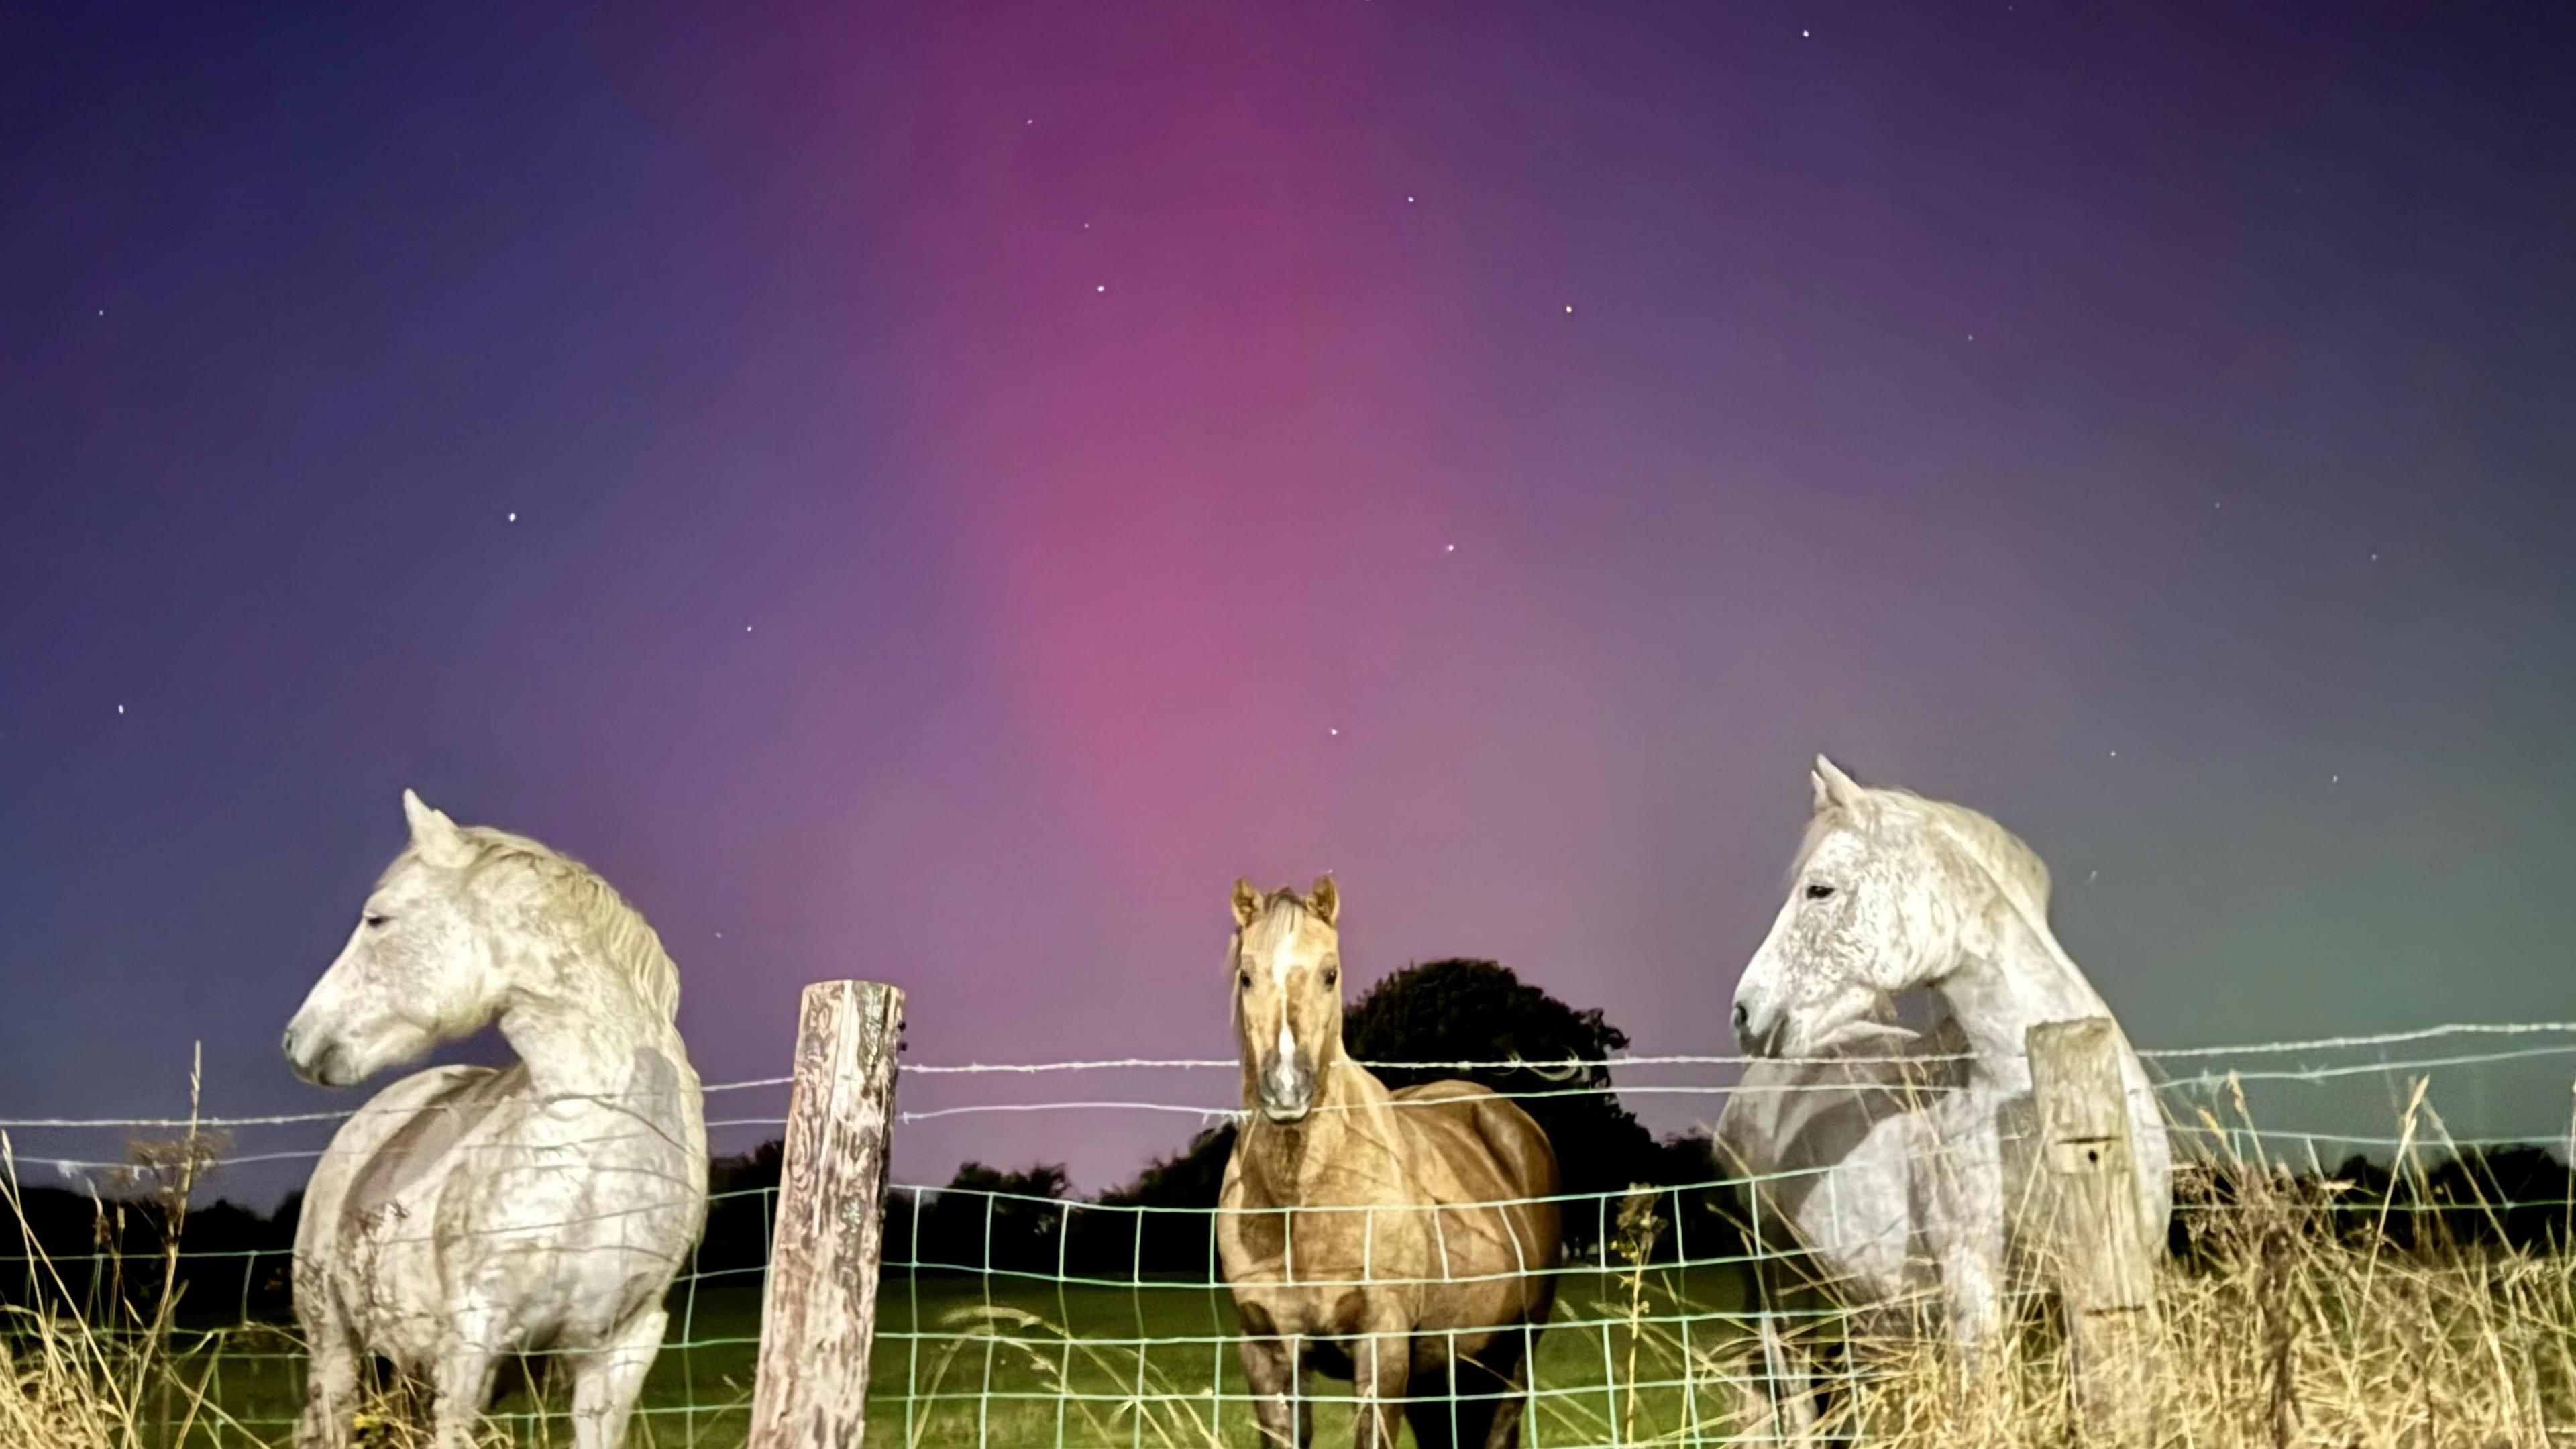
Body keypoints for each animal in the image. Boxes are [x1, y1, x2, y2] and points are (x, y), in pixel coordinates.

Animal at [1216, 881, 1556, 1444]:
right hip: (1443, 1370)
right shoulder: (1269, 1351)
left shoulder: (1384, 1346)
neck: (1302, 1203)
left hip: (1512, 1354)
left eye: (1330, 973)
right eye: (1246, 975)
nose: (1286, 1089)